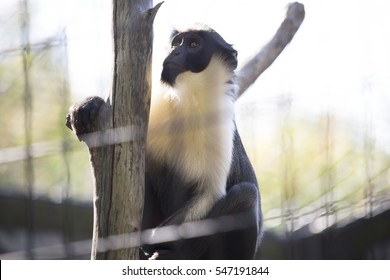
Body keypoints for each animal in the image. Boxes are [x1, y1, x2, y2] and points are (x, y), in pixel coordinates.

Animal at [66, 24, 262, 260]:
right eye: (177, 43)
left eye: (193, 44)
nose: (174, 52)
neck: (187, 99)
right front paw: (88, 105)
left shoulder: (220, 122)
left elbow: (208, 193)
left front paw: (153, 241)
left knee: (246, 196)